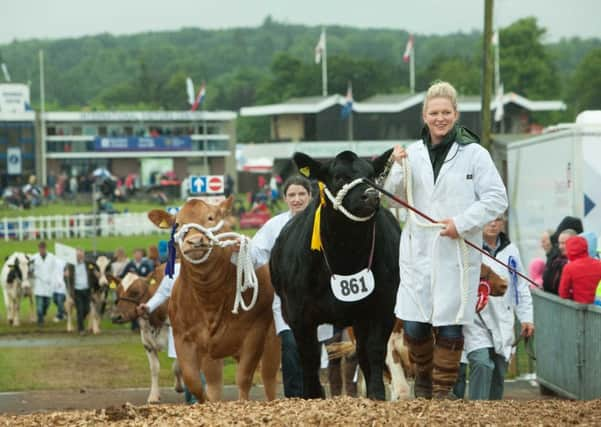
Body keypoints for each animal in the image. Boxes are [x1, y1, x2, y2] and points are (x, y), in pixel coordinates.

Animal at [270, 150, 400, 402]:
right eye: (339, 176)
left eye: (372, 175)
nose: (371, 196)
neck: (346, 256)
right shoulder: (299, 315)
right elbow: (308, 358)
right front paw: (313, 396)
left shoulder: (384, 306)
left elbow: (375, 350)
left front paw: (377, 395)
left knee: (363, 352)